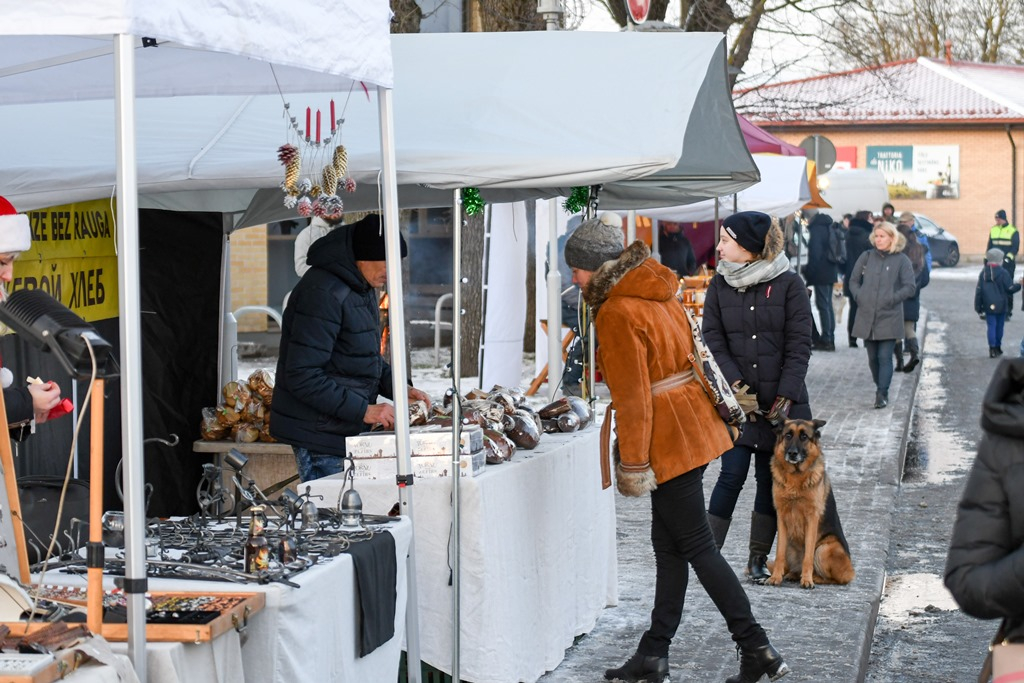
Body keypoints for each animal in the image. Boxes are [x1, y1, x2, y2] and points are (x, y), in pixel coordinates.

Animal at [770, 419, 856, 589]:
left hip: (824, 549)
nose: (792, 453)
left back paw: (814, 577)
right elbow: (779, 554)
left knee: (836, 579)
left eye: (804, 437)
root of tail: (851, 568)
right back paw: (793, 574)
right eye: (788, 435)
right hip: (791, 545)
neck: (796, 477)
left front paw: (807, 579)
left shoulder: (812, 519)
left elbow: (808, 556)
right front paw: (775, 577)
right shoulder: (781, 517)